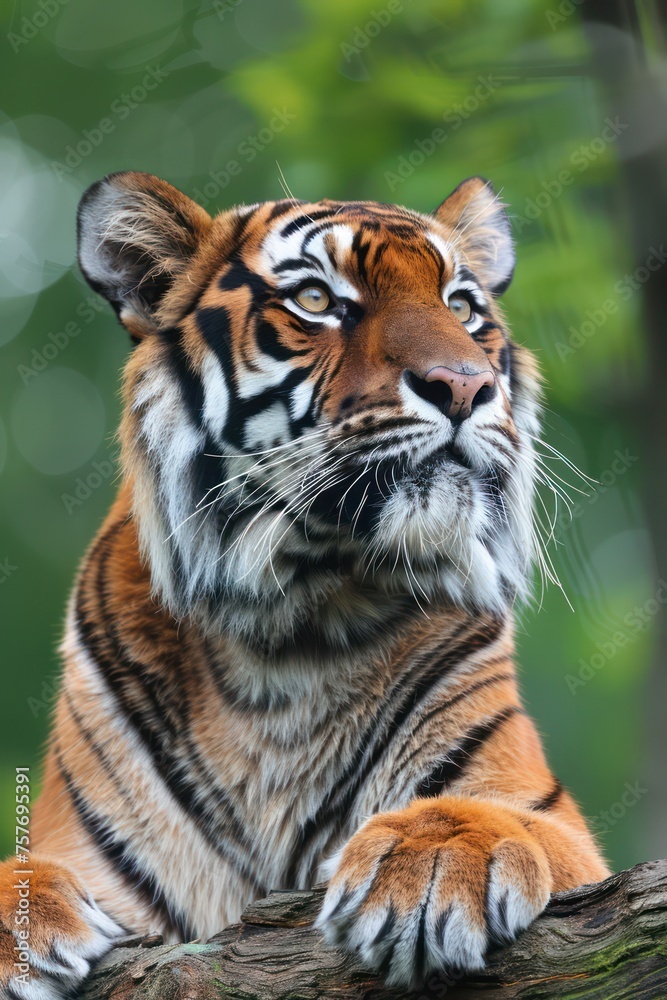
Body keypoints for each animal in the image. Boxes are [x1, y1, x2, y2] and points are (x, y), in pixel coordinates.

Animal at [0, 170, 610, 999]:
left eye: (461, 306)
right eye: (318, 300)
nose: (464, 386)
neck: (294, 621)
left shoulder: (560, 825)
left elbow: (500, 815)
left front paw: (433, 857)